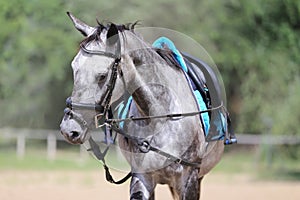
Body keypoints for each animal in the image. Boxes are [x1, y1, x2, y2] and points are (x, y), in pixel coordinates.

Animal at [59, 12, 224, 198]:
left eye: (102, 75)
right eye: (74, 69)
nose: (69, 129)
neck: (160, 117)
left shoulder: (190, 179)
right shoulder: (142, 177)